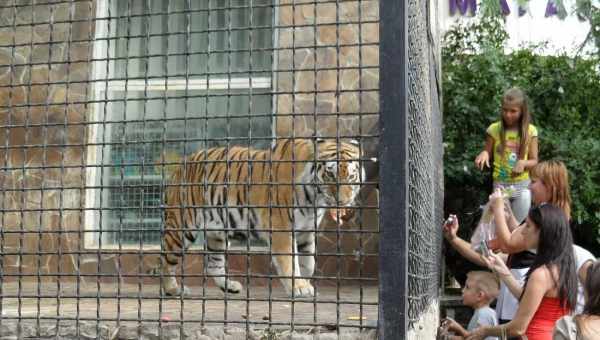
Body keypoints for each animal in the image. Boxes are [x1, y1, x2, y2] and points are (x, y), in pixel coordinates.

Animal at [156, 138, 360, 298]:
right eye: (330, 175)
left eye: (351, 176)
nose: (343, 201)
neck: (314, 198)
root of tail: (179, 167)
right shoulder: (282, 229)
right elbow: (290, 261)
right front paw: (299, 287)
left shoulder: (307, 231)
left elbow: (308, 262)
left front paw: (306, 283)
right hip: (182, 227)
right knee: (165, 259)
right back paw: (173, 289)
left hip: (217, 232)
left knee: (213, 265)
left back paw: (230, 287)